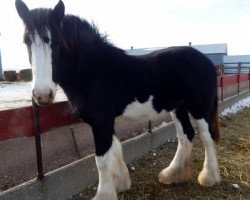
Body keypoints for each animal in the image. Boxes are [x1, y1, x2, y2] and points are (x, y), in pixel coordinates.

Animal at [15, 0, 220, 199]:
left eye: (57, 42)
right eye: (26, 41)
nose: (42, 95)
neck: (94, 70)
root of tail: (209, 63)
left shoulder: (100, 121)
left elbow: (102, 159)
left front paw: (104, 194)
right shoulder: (107, 121)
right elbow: (115, 149)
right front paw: (121, 184)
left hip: (199, 107)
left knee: (207, 137)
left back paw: (209, 178)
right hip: (178, 108)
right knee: (186, 135)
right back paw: (172, 174)